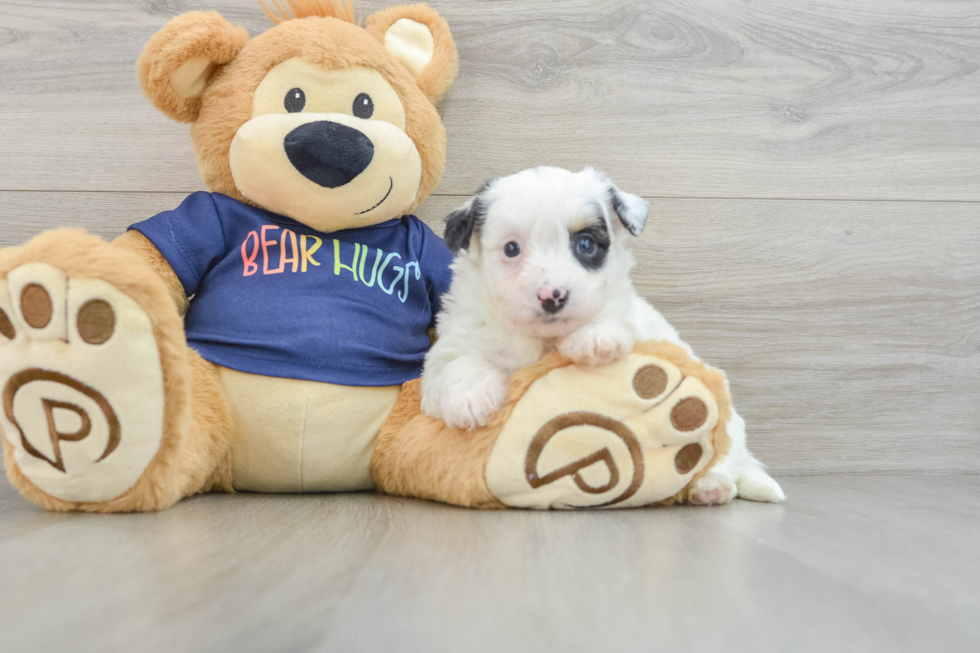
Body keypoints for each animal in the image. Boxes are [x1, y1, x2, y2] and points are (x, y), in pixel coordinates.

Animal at [420, 166, 780, 502]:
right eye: (511, 249)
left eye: (586, 244)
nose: (552, 296)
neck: (543, 340)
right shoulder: (456, 338)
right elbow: (459, 362)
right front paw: (470, 399)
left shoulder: (630, 319)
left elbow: (610, 316)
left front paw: (592, 338)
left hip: (729, 423)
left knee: (725, 453)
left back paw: (711, 486)